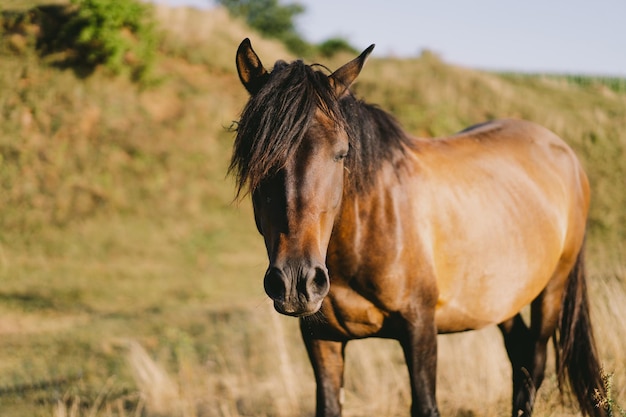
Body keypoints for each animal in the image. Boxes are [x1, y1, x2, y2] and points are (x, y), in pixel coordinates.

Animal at [229, 39, 604, 416]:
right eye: (255, 155)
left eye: (341, 152)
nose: (296, 282)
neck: (369, 229)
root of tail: (564, 152)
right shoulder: (322, 339)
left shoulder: (420, 328)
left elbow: (425, 404)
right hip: (504, 296)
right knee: (520, 357)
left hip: (552, 289)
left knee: (535, 362)